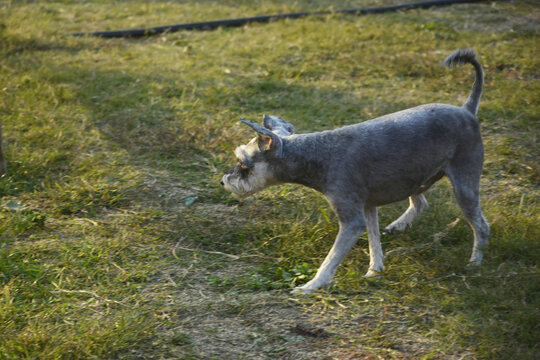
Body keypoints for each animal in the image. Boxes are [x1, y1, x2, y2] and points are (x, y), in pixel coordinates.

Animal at [219, 49, 490, 294]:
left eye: (243, 163)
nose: (223, 181)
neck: (317, 155)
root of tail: (467, 110)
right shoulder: (368, 207)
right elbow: (374, 242)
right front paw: (375, 270)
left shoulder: (351, 219)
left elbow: (331, 259)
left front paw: (311, 286)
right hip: (415, 175)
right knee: (420, 202)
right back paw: (399, 225)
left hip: (464, 184)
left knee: (481, 226)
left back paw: (475, 264)